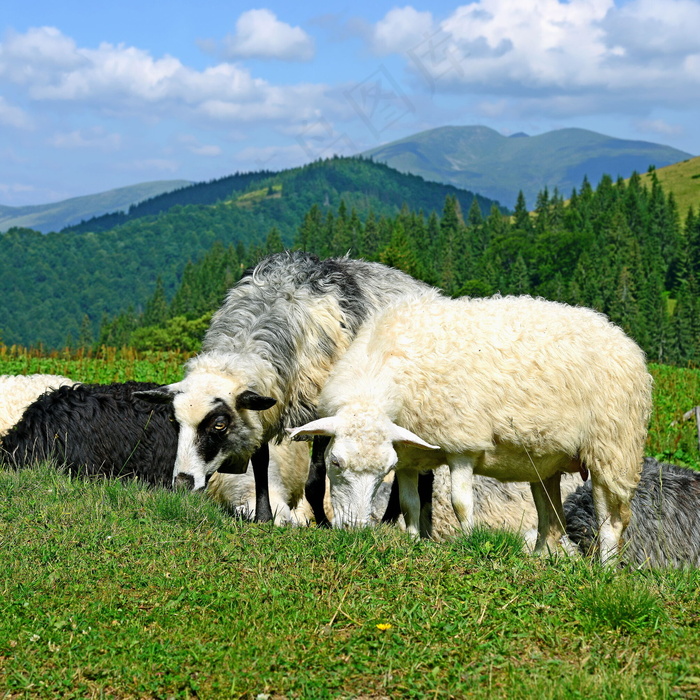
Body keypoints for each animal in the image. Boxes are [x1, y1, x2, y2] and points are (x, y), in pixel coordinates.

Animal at [136, 249, 432, 524]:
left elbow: (315, 480)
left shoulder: (322, 412)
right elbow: (261, 464)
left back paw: (393, 519)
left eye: (220, 424)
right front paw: (263, 517)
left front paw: (323, 523)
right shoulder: (265, 410)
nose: (182, 482)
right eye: (174, 422)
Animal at [288, 292, 652, 568]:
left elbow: (460, 502)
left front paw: (470, 541)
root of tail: (621, 336)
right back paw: (539, 560)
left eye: (382, 470)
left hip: (612, 447)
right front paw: (412, 541)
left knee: (609, 519)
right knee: (549, 516)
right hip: (548, 462)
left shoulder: (461, 443)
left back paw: (604, 569)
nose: (355, 529)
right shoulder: (408, 454)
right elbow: (409, 503)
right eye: (335, 462)